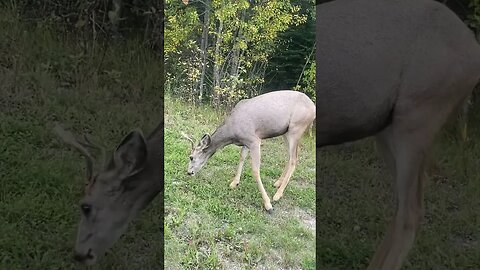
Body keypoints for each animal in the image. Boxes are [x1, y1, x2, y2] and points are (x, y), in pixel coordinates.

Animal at [180, 90, 316, 213]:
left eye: (191, 157)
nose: (189, 172)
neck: (232, 132)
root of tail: (313, 107)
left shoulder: (254, 140)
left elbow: (255, 170)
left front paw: (268, 204)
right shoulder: (246, 142)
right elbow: (241, 157)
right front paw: (234, 183)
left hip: (296, 128)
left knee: (294, 159)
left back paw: (277, 195)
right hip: (285, 132)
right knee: (290, 157)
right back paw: (277, 183)